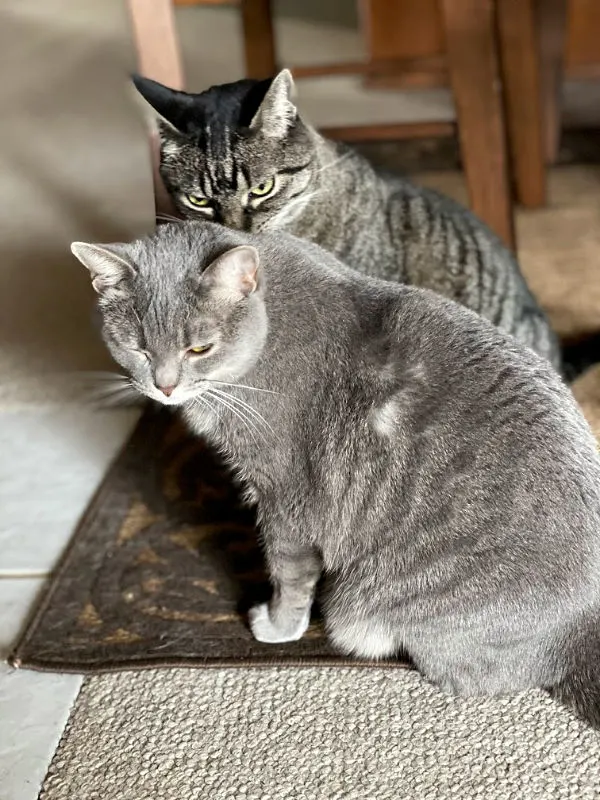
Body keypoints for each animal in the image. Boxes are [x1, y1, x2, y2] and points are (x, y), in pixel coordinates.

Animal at [72, 220, 600, 732]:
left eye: (199, 347)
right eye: (137, 347)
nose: (164, 387)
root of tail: (578, 635)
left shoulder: (286, 497)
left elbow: (287, 574)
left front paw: (276, 626)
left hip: (384, 600)